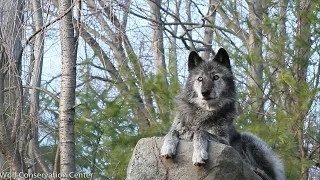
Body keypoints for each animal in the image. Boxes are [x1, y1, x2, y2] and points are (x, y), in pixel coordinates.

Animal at [160, 48, 284, 180]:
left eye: (215, 77)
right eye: (200, 78)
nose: (205, 92)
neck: (203, 113)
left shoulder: (225, 142)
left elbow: (201, 132)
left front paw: (199, 153)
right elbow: (172, 132)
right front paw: (167, 147)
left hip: (249, 138)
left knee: (269, 175)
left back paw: (256, 170)